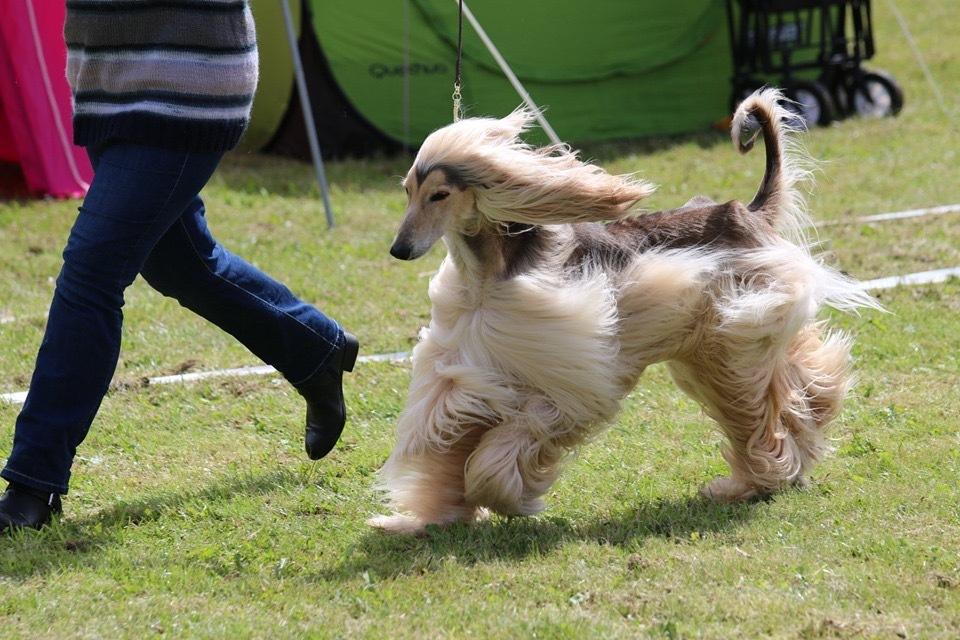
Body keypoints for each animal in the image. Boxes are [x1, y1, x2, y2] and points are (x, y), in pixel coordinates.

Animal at [370, 89, 876, 536]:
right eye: (407, 192)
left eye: (439, 195)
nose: (400, 249)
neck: (486, 277)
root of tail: (746, 212)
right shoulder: (471, 370)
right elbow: (450, 430)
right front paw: (431, 516)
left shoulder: (562, 377)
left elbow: (513, 439)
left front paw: (505, 496)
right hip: (725, 338)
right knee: (792, 379)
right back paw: (783, 454)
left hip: (738, 329)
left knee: (760, 400)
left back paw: (766, 476)